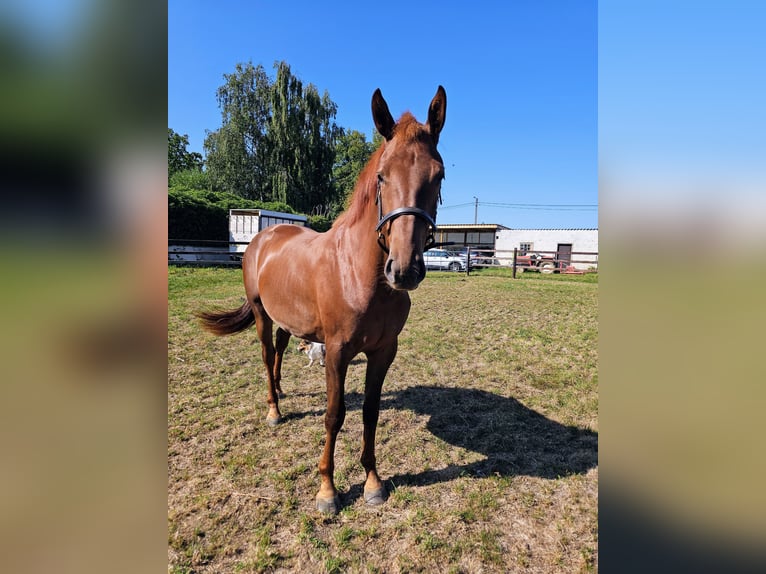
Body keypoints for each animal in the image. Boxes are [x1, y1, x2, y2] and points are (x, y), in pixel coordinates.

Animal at [197, 86, 447, 514]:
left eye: (439, 175)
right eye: (382, 176)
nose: (404, 270)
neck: (360, 274)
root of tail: (264, 236)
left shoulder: (384, 350)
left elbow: (370, 412)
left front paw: (373, 482)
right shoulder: (336, 351)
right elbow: (334, 414)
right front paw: (327, 490)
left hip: (286, 318)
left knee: (281, 350)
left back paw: (281, 391)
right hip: (262, 314)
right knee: (266, 354)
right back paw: (274, 409)